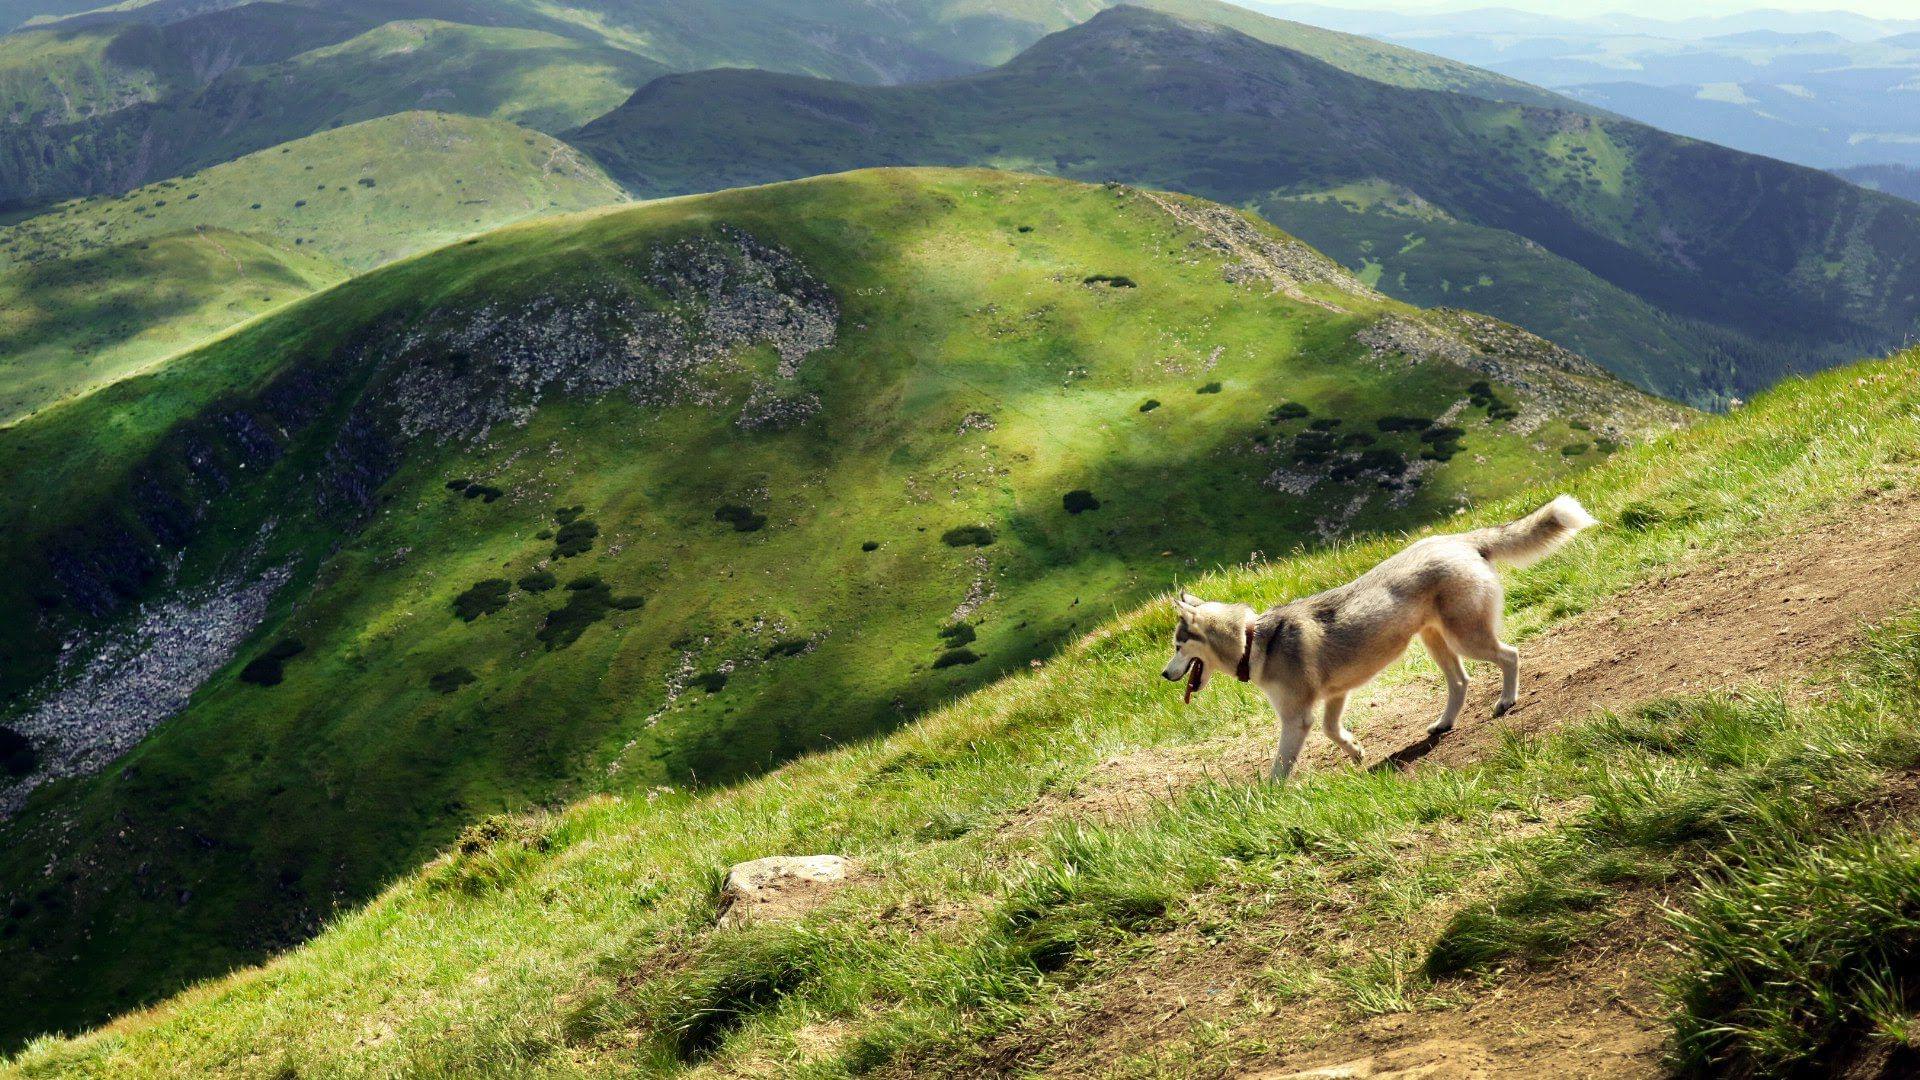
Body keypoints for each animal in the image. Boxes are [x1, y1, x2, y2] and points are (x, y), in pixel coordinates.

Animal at [1159, 491, 1597, 776]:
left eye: (1179, 646)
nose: (1164, 674)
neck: (1254, 640)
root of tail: (1459, 538)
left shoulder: (1296, 718)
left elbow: (1279, 768)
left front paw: (1269, 803)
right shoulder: (1335, 696)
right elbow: (1332, 730)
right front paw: (1355, 751)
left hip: (1466, 638)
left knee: (1510, 655)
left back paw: (1506, 701)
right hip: (1435, 642)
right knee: (1461, 681)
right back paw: (1444, 724)